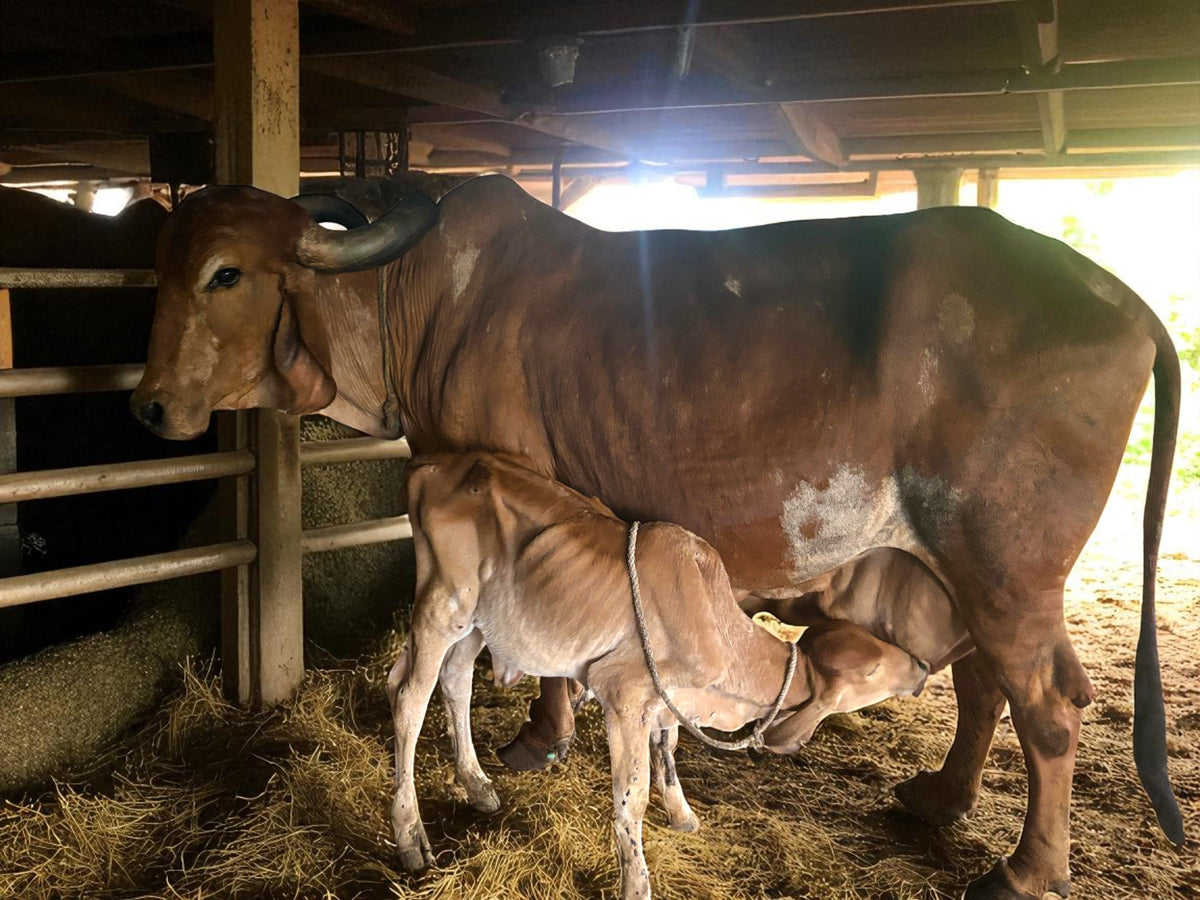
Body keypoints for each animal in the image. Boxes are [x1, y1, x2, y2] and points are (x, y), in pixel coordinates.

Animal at [390, 451, 930, 898]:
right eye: (873, 668)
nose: (923, 666)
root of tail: (432, 465)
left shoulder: (666, 701)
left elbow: (667, 751)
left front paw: (682, 814)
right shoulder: (623, 692)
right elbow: (631, 797)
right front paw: (637, 883)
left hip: (480, 623)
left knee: (455, 681)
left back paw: (477, 785)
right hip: (443, 605)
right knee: (409, 698)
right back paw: (411, 835)